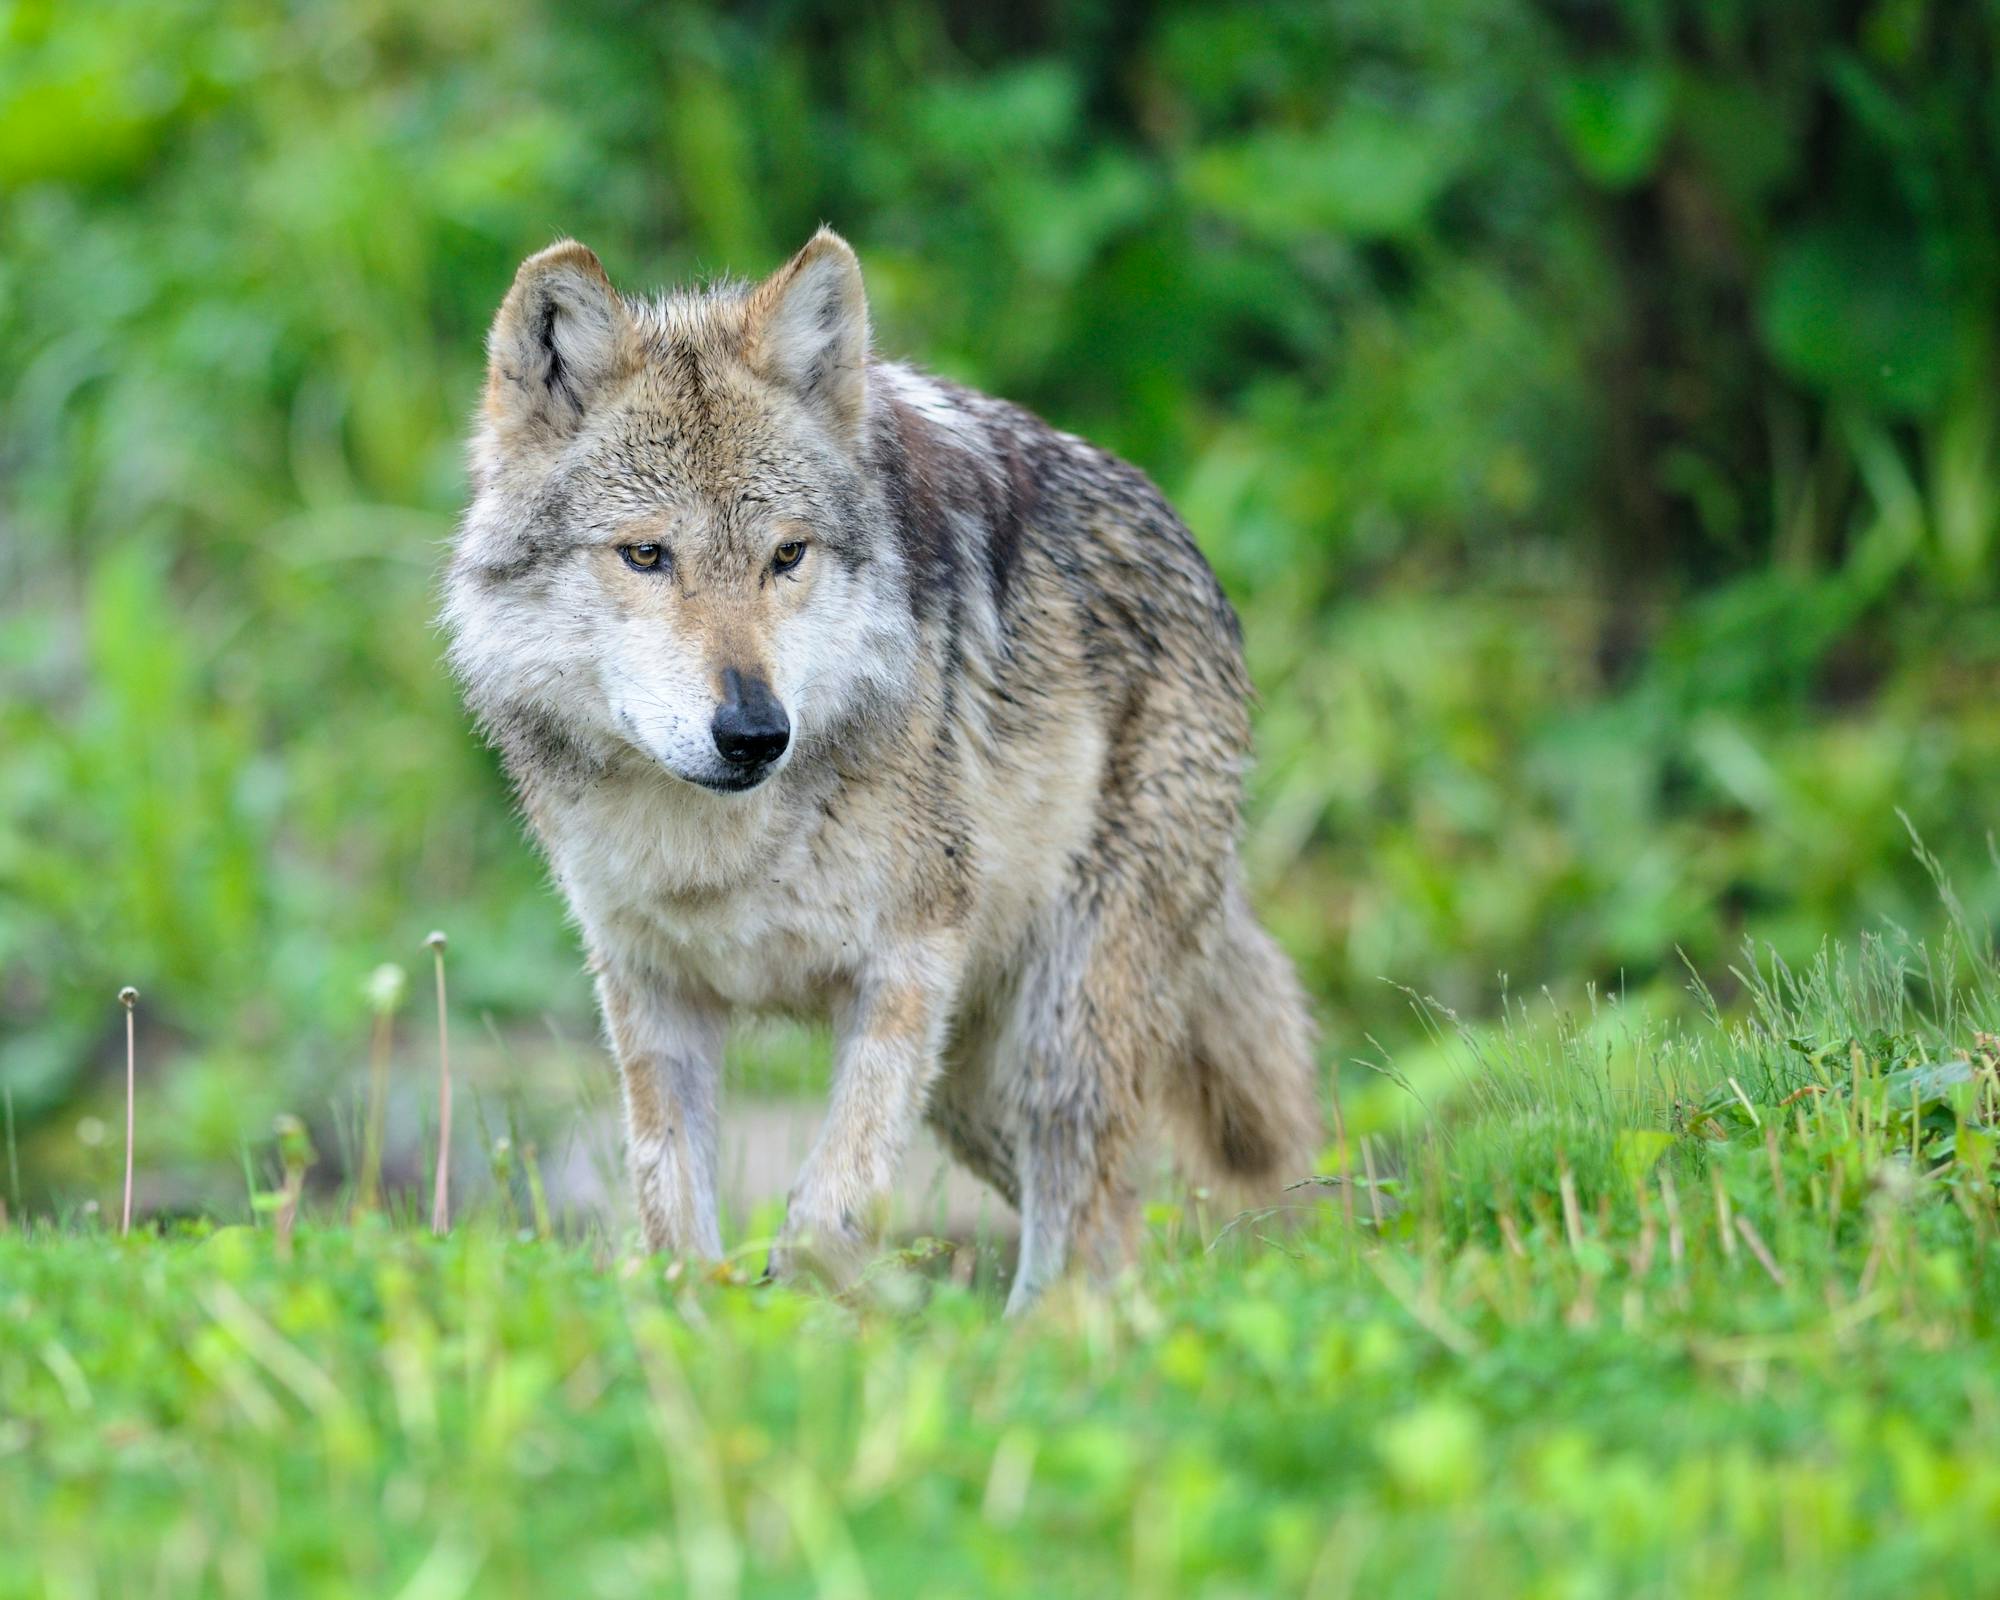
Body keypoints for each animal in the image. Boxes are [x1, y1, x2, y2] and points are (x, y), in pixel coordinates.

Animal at [444, 229, 1321, 1311]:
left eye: (787, 556)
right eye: (646, 555)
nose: (754, 732)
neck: (717, 847)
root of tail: (1189, 546)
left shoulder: (909, 961)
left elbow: (826, 1215)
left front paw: (807, 1308)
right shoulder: (653, 990)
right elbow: (668, 1212)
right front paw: (701, 1323)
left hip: (1060, 1026)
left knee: (1086, 1197)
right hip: (972, 1084)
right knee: (1112, 1215)